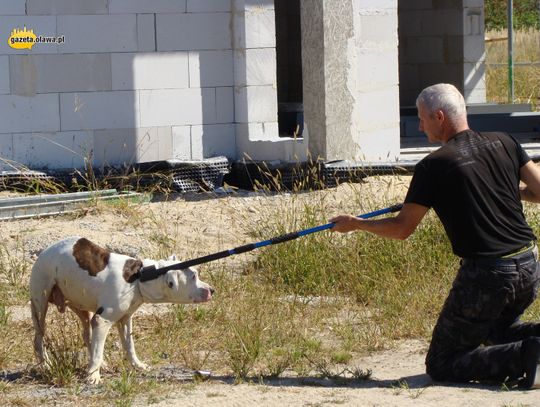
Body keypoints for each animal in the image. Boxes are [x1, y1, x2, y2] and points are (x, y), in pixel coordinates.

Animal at [30, 237, 213, 384]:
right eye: (194, 276)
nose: (212, 289)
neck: (139, 277)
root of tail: (45, 251)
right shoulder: (103, 320)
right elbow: (98, 352)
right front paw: (93, 376)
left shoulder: (124, 320)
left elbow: (129, 346)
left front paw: (137, 365)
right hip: (40, 305)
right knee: (39, 339)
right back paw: (46, 365)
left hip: (82, 307)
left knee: (87, 336)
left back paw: (101, 363)